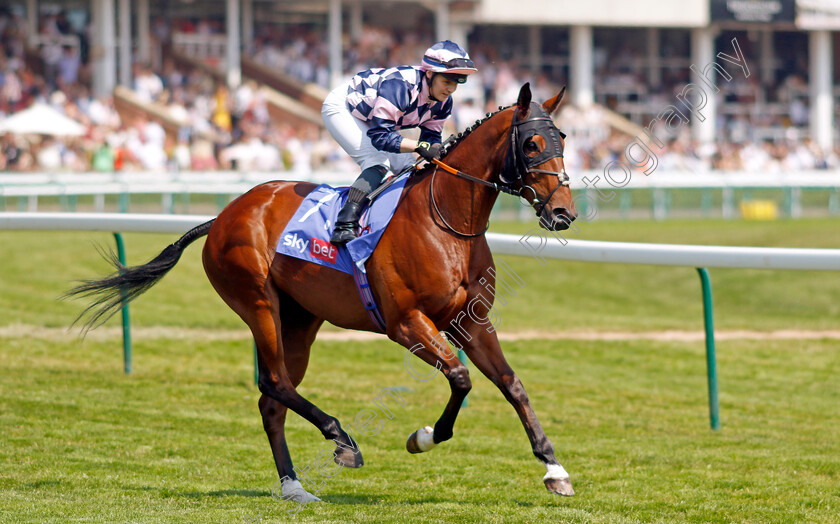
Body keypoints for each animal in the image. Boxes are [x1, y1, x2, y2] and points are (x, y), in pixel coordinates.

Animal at [69, 84, 576, 502]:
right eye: (531, 144)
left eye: (564, 139)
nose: (563, 213)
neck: (446, 221)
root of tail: (225, 214)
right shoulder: (405, 322)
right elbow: (461, 376)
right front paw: (424, 438)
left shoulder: (471, 320)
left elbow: (511, 384)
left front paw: (554, 469)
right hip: (258, 303)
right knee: (274, 382)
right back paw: (342, 441)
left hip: (300, 320)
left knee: (273, 399)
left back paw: (294, 486)